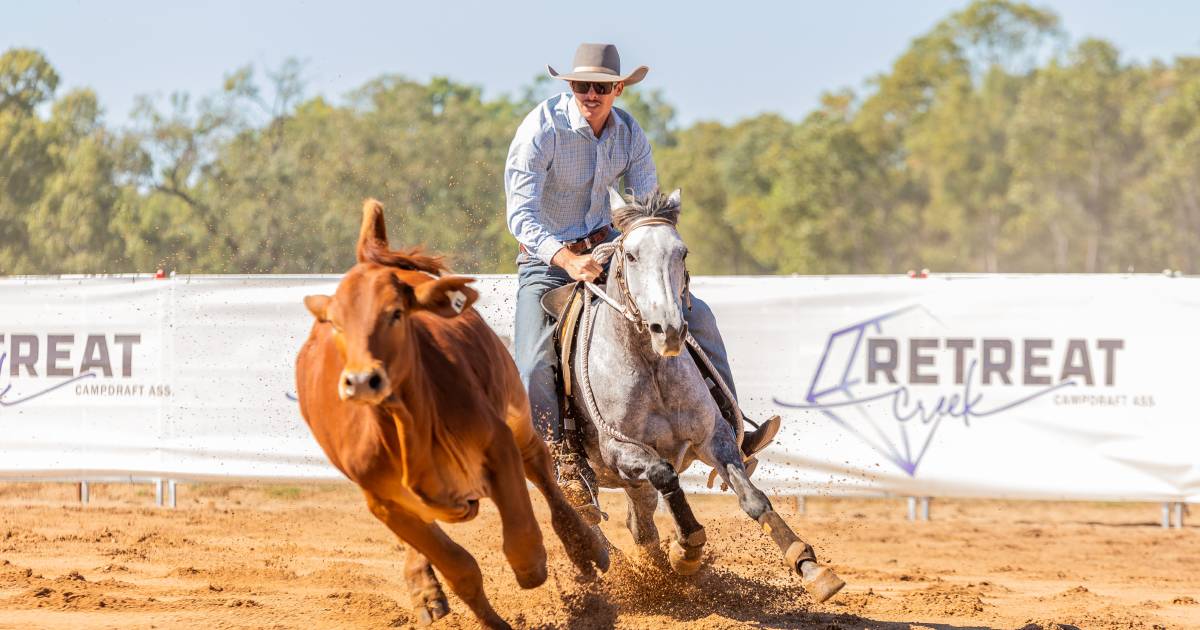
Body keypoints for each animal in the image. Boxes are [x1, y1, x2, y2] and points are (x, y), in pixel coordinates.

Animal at [295, 199, 604, 624]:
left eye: (395, 313)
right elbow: (460, 569)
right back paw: (424, 589)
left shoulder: (497, 443)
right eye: (336, 324)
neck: (407, 426)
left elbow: (523, 543)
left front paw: (545, 566)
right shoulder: (384, 502)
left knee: (541, 470)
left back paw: (587, 547)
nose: (361, 381)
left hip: (517, 413)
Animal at [568, 186, 844, 600]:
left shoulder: (713, 436)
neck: (650, 369)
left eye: (681, 252)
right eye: (631, 255)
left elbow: (753, 499)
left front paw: (809, 566)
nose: (668, 329)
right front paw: (687, 550)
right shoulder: (619, 449)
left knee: (641, 526)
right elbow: (665, 474)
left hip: (634, 485)